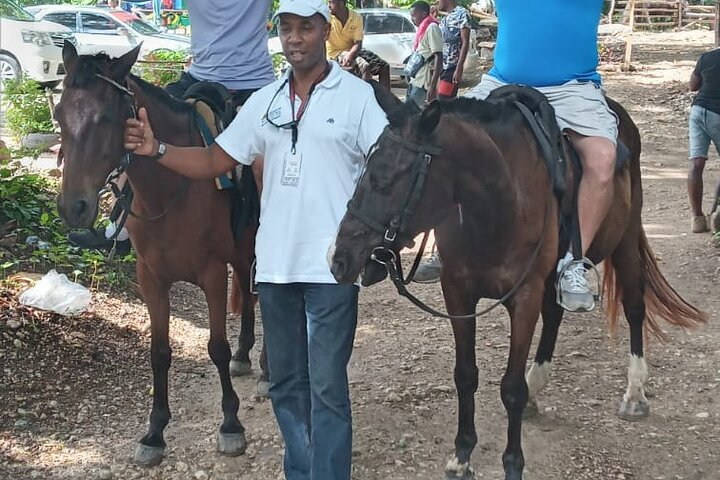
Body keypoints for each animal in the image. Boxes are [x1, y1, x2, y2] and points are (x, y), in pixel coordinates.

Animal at [54, 43, 268, 466]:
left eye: (108, 118)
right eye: (58, 115)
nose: (74, 207)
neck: (171, 187)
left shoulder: (211, 273)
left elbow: (215, 348)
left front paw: (230, 425)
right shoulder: (150, 277)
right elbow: (159, 352)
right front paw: (154, 432)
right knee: (248, 293)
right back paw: (245, 353)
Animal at [330, 91, 704, 480]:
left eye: (384, 179)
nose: (339, 258)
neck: (495, 205)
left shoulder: (523, 298)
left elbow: (510, 388)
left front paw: (512, 463)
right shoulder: (458, 293)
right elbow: (465, 375)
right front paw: (462, 454)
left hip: (626, 240)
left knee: (633, 306)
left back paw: (634, 394)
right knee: (554, 315)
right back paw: (537, 386)